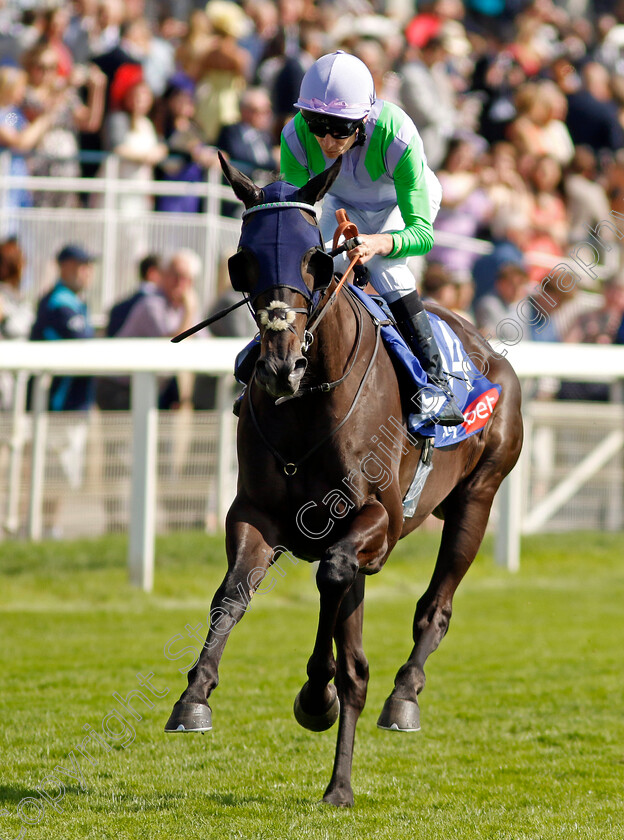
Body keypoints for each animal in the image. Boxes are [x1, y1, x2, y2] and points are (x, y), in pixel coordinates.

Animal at [163, 156, 524, 808]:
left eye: (316, 259)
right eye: (243, 260)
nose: (281, 367)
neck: (307, 404)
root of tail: (485, 349)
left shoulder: (378, 523)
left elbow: (335, 579)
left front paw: (321, 699)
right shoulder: (255, 514)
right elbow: (233, 595)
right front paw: (194, 698)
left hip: (477, 498)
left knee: (435, 606)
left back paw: (401, 699)